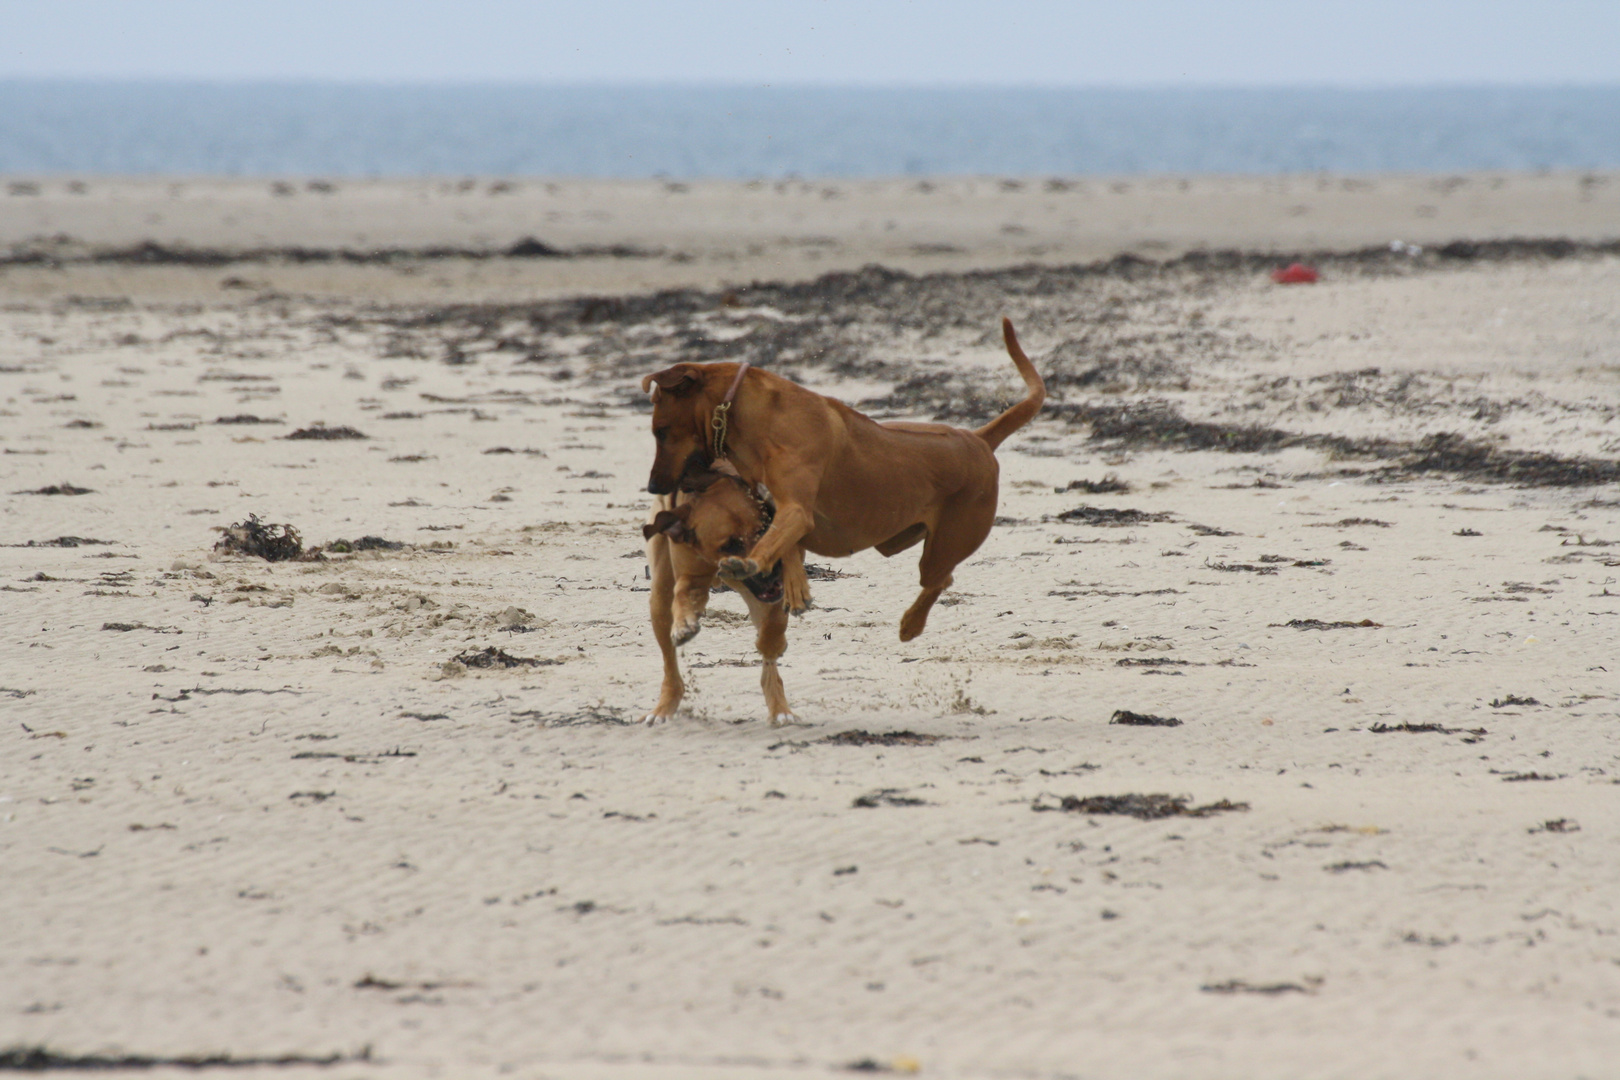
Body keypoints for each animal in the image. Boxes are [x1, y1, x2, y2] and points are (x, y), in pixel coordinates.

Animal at [638, 318, 1043, 641]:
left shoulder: (795, 508)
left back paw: (911, 624)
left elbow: (775, 540)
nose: (654, 486)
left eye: (660, 431)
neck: (752, 418)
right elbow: (785, 544)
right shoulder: (771, 503)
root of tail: (977, 439)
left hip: (950, 541)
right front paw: (794, 586)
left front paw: (752, 563)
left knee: (939, 580)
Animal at [641, 466, 800, 725]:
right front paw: (684, 626)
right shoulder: (690, 576)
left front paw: (772, 643)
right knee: (669, 660)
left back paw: (780, 709)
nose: (773, 570)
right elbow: (683, 597)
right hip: (660, 596)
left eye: (763, 529)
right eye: (729, 545)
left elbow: (773, 626)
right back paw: (663, 708)